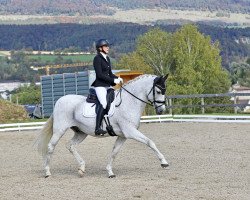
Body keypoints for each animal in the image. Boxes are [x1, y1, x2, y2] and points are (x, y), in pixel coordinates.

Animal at [35, 74, 170, 177]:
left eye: (164, 91)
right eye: (158, 91)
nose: (161, 110)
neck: (129, 102)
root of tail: (59, 100)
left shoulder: (123, 135)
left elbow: (115, 152)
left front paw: (110, 172)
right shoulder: (130, 132)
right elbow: (150, 142)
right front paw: (164, 162)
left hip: (81, 132)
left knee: (70, 146)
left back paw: (81, 168)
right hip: (59, 130)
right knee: (51, 147)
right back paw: (47, 172)